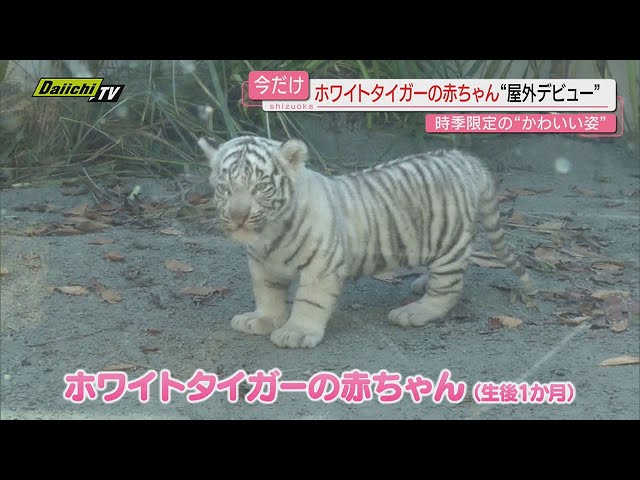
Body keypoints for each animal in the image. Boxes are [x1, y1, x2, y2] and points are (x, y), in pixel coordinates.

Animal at [197, 135, 537, 349]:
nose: (238, 216)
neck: (269, 234)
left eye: (260, 188)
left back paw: (415, 311)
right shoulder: (262, 264)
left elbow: (309, 301)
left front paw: (295, 332)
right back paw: (421, 284)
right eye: (225, 188)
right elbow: (267, 295)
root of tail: (462, 158)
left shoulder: (321, 264)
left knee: (448, 289)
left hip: (448, 239)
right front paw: (262, 320)